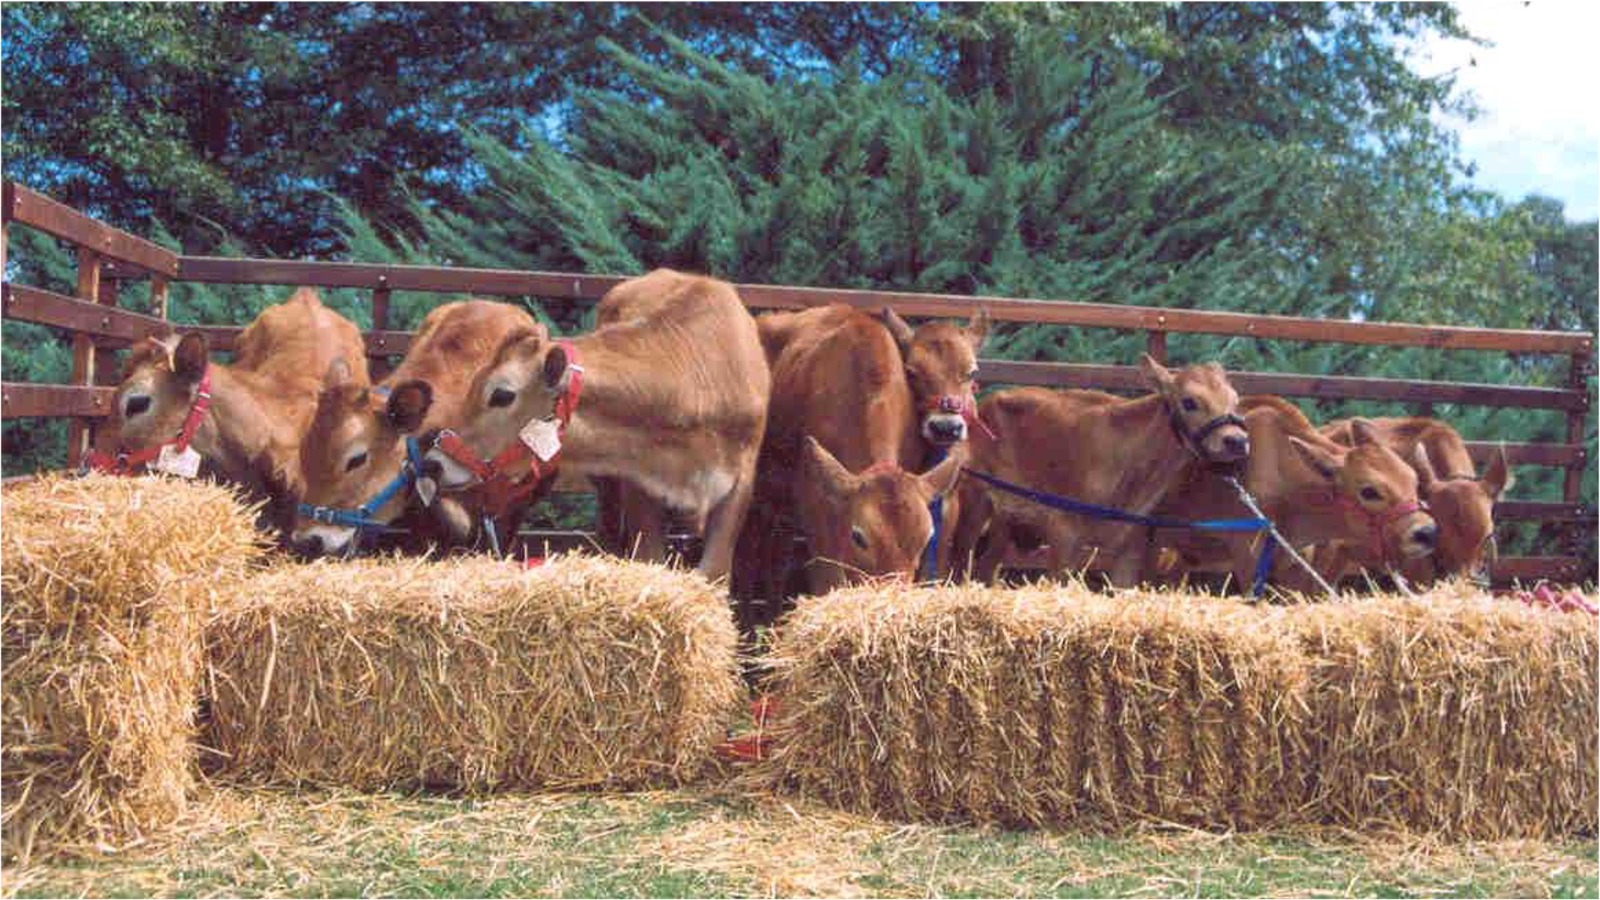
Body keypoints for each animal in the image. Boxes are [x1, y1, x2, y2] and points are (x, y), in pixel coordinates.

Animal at [419, 269, 770, 584]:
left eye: (502, 394)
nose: (433, 463)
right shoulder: (637, 485)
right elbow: (650, 559)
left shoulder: (739, 487)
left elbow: (715, 573)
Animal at [729, 304, 978, 632]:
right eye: (859, 537)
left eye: (925, 538)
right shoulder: (816, 503)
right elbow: (827, 576)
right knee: (747, 556)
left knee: (776, 560)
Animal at [949, 356, 1251, 587]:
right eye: (1189, 402)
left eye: (1235, 399)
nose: (1236, 440)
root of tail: (991, 400)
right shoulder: (1063, 535)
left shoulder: (1131, 547)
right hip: (975, 501)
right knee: (960, 561)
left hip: (1006, 521)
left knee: (987, 567)